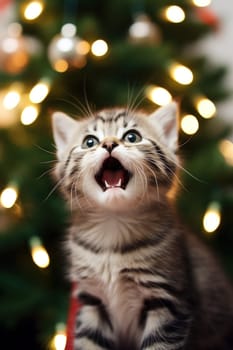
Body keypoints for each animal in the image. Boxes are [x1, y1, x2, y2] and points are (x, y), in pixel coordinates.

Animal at [52, 103, 233, 350]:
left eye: (132, 137)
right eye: (89, 141)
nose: (109, 144)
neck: (114, 224)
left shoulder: (167, 301)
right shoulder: (92, 300)